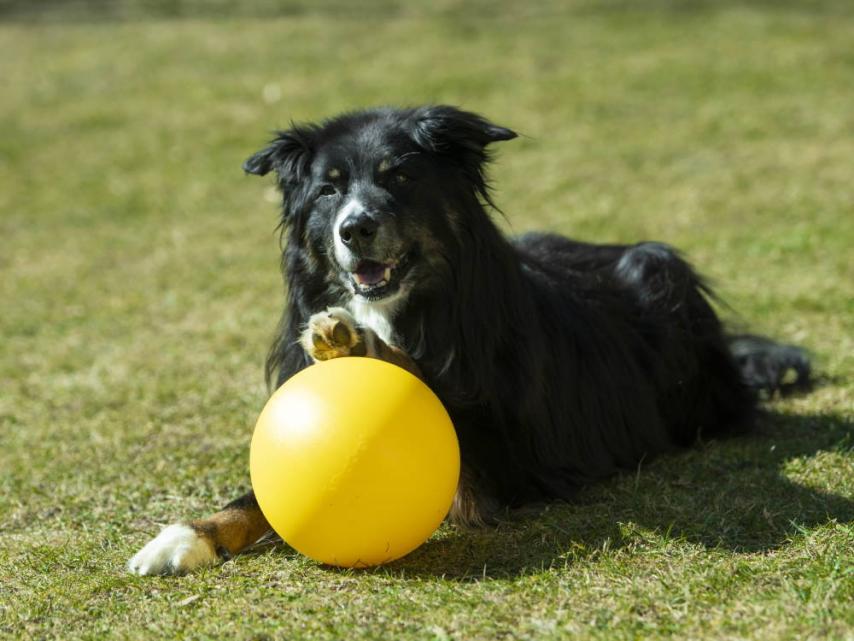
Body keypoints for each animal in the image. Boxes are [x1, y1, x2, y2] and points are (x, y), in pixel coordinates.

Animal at [127, 105, 808, 576]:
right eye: (328, 188)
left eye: (400, 178)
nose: (355, 228)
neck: (413, 306)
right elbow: (257, 496)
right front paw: (187, 535)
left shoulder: (512, 459)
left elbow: (430, 383)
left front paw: (358, 342)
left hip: (659, 268)